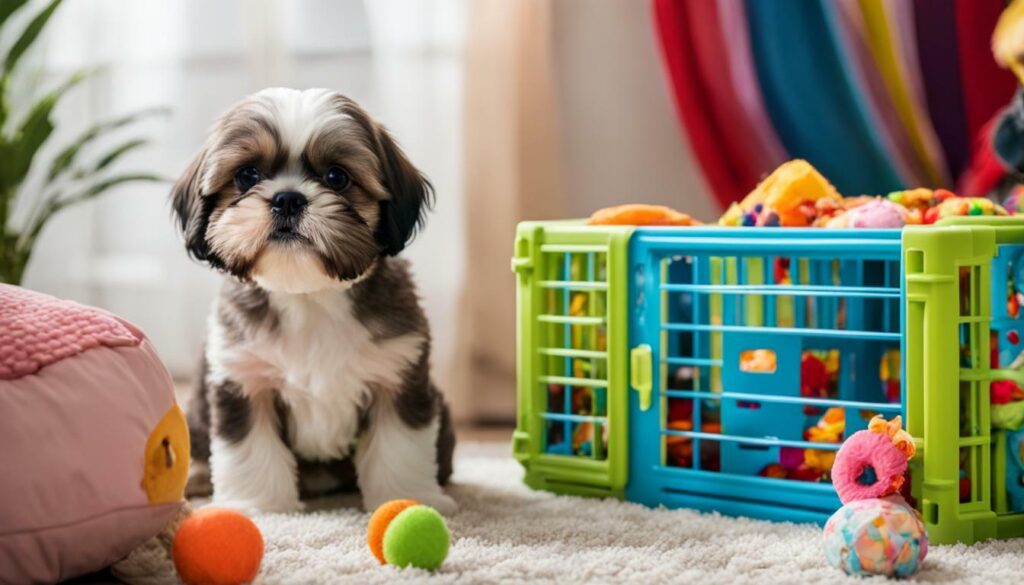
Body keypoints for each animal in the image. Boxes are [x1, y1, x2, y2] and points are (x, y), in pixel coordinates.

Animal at [174, 87, 454, 512]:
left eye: (337, 177)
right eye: (247, 175)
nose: (288, 198)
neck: (308, 296)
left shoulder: (396, 373)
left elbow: (400, 444)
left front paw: (410, 498)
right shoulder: (245, 377)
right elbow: (250, 448)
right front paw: (261, 506)